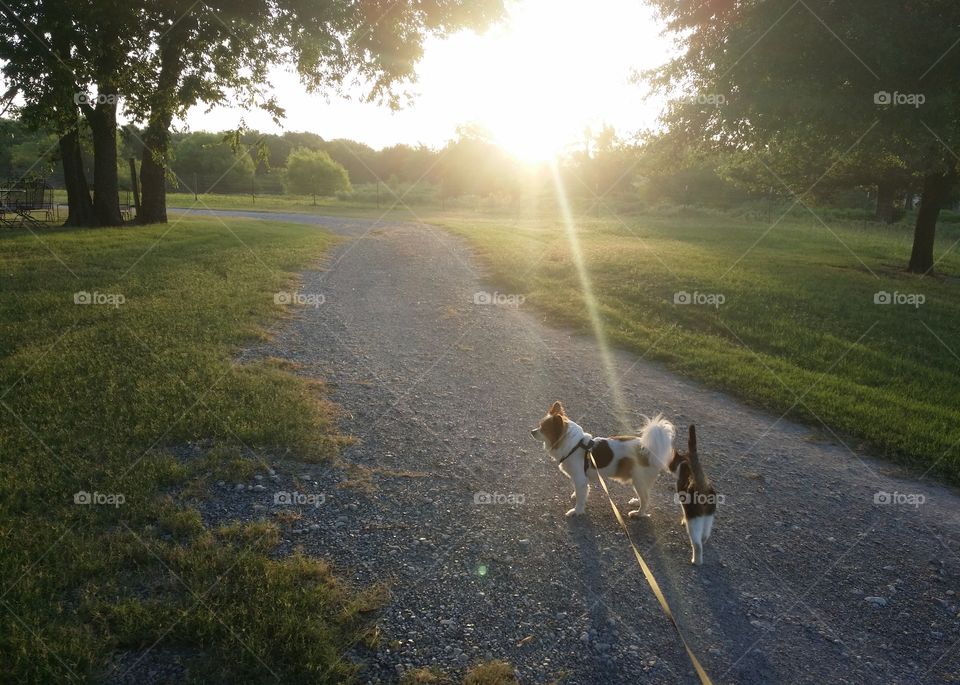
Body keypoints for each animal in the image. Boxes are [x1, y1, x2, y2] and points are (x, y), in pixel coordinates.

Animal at [532, 398, 676, 516]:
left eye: (543, 429)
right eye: (539, 425)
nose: (532, 432)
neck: (574, 445)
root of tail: (649, 449)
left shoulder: (580, 479)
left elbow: (580, 498)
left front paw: (576, 511)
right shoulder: (580, 479)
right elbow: (580, 493)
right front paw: (576, 496)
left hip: (639, 480)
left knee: (645, 499)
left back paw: (638, 513)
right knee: (646, 496)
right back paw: (636, 501)